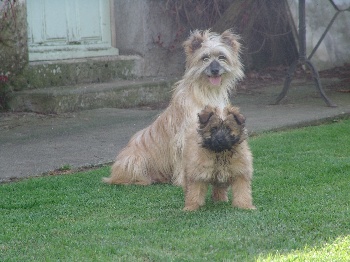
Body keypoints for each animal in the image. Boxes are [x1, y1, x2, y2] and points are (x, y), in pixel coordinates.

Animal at [102, 29, 253, 209]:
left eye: (222, 56)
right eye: (205, 58)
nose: (215, 70)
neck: (206, 91)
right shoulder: (184, 137)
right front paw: (182, 181)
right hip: (135, 160)